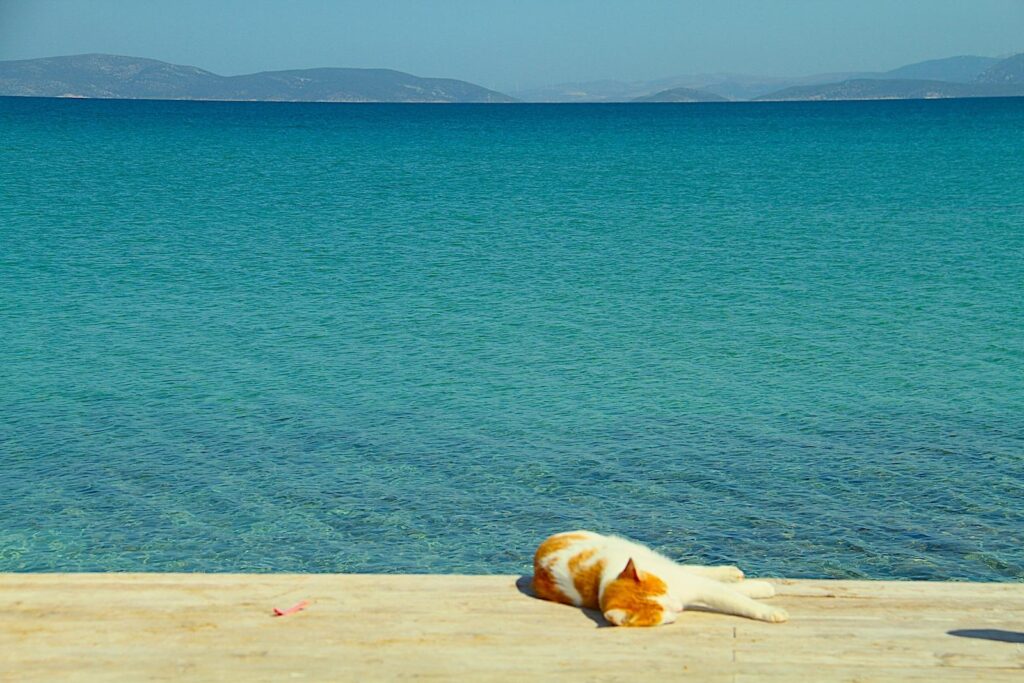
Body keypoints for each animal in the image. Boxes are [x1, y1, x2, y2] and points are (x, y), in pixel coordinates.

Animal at [532, 532, 786, 626]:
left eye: (662, 592)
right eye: (658, 611)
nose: (678, 607)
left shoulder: (692, 586)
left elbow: (735, 598)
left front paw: (769, 608)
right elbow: (730, 596)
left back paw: (733, 573)